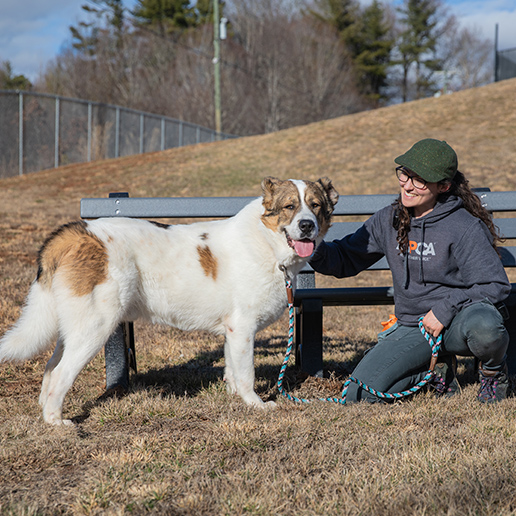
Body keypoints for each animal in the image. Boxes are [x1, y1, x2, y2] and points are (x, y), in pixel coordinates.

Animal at [0, 175, 338, 426]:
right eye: (290, 206)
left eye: (315, 206)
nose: (307, 225)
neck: (266, 241)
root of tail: (76, 231)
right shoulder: (243, 330)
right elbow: (246, 375)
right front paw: (255, 404)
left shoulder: (232, 333)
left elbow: (232, 370)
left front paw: (233, 398)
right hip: (96, 328)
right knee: (60, 374)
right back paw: (56, 422)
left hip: (73, 327)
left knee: (50, 367)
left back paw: (45, 411)